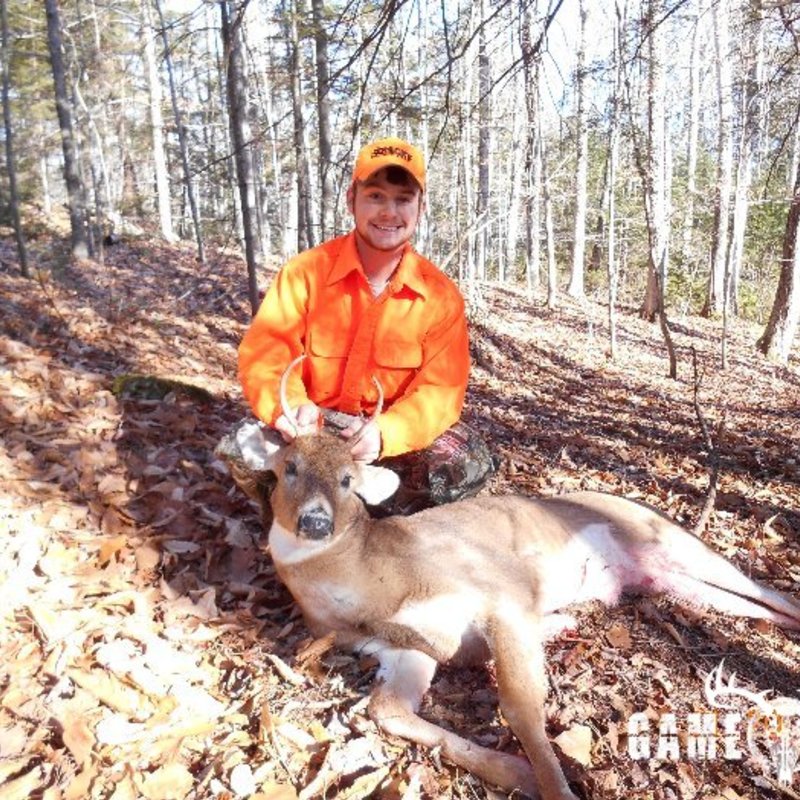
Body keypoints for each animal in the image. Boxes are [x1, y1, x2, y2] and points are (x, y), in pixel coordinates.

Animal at [221, 355, 800, 800]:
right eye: (289, 468)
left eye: (347, 480)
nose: (315, 522)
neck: (370, 586)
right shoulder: (405, 647)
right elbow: (388, 710)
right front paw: (516, 772)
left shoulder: (500, 594)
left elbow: (520, 709)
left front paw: (558, 787)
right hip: (667, 579)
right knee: (751, 603)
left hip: (668, 539)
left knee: (765, 588)